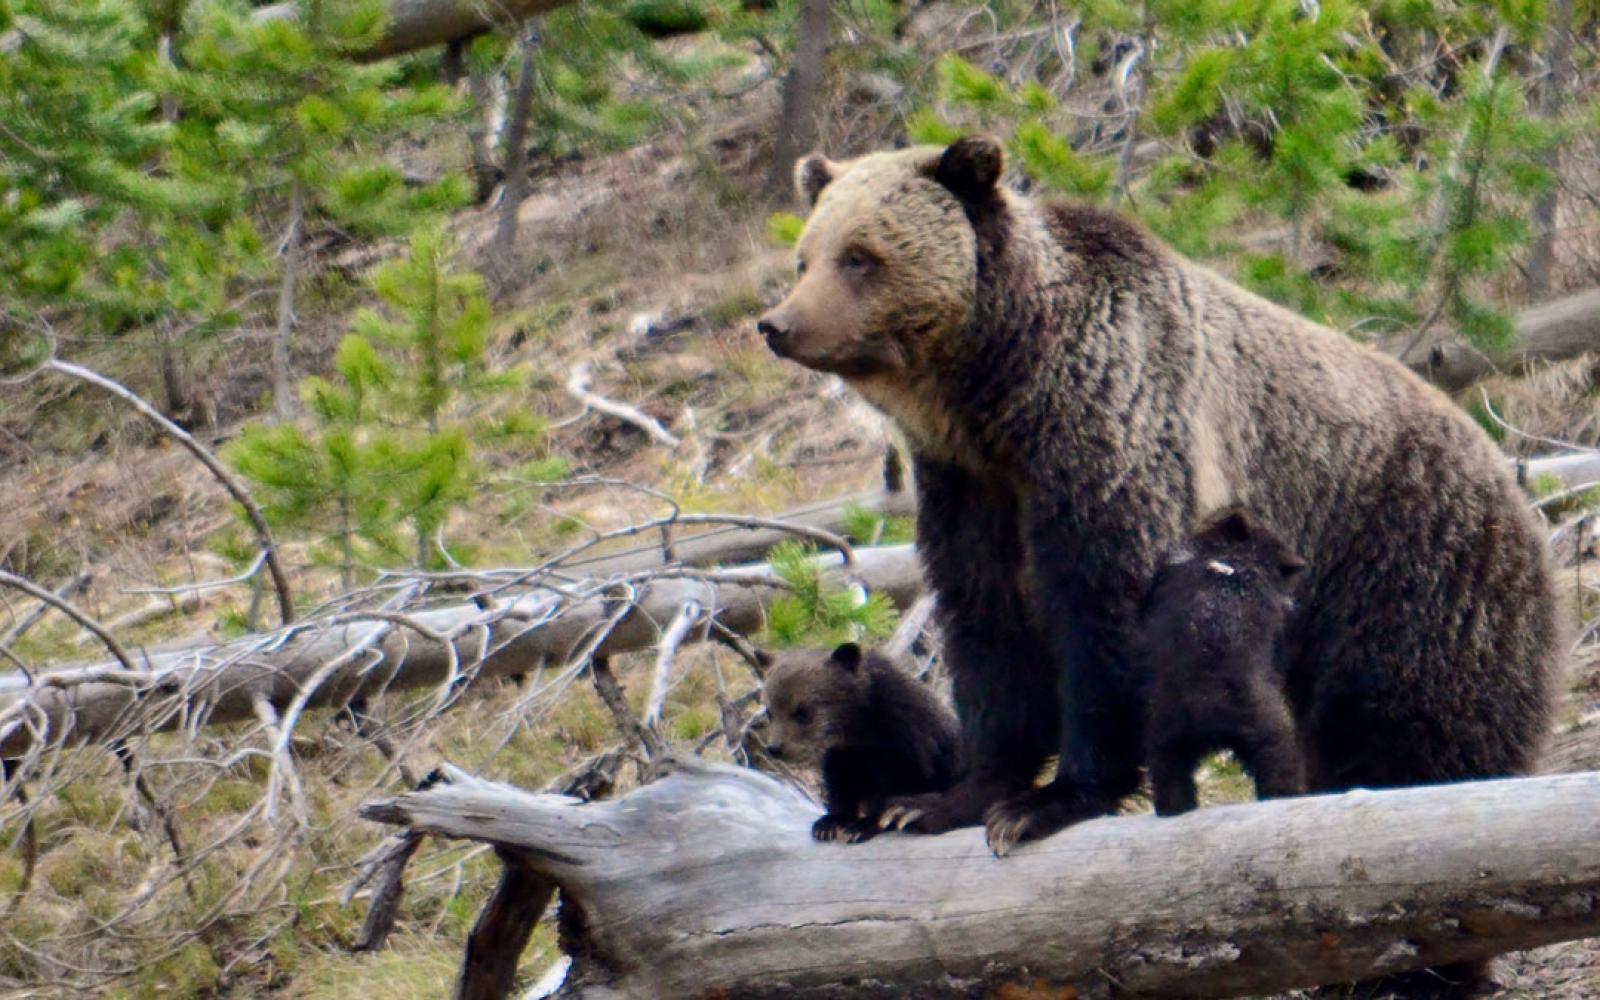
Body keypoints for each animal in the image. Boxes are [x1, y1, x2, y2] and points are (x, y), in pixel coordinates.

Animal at [761, 641, 959, 843]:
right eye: (769, 712)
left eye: (801, 712)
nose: (775, 748)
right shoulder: (842, 755)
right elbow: (841, 785)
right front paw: (828, 823)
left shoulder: (908, 746)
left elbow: (894, 787)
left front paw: (864, 825)